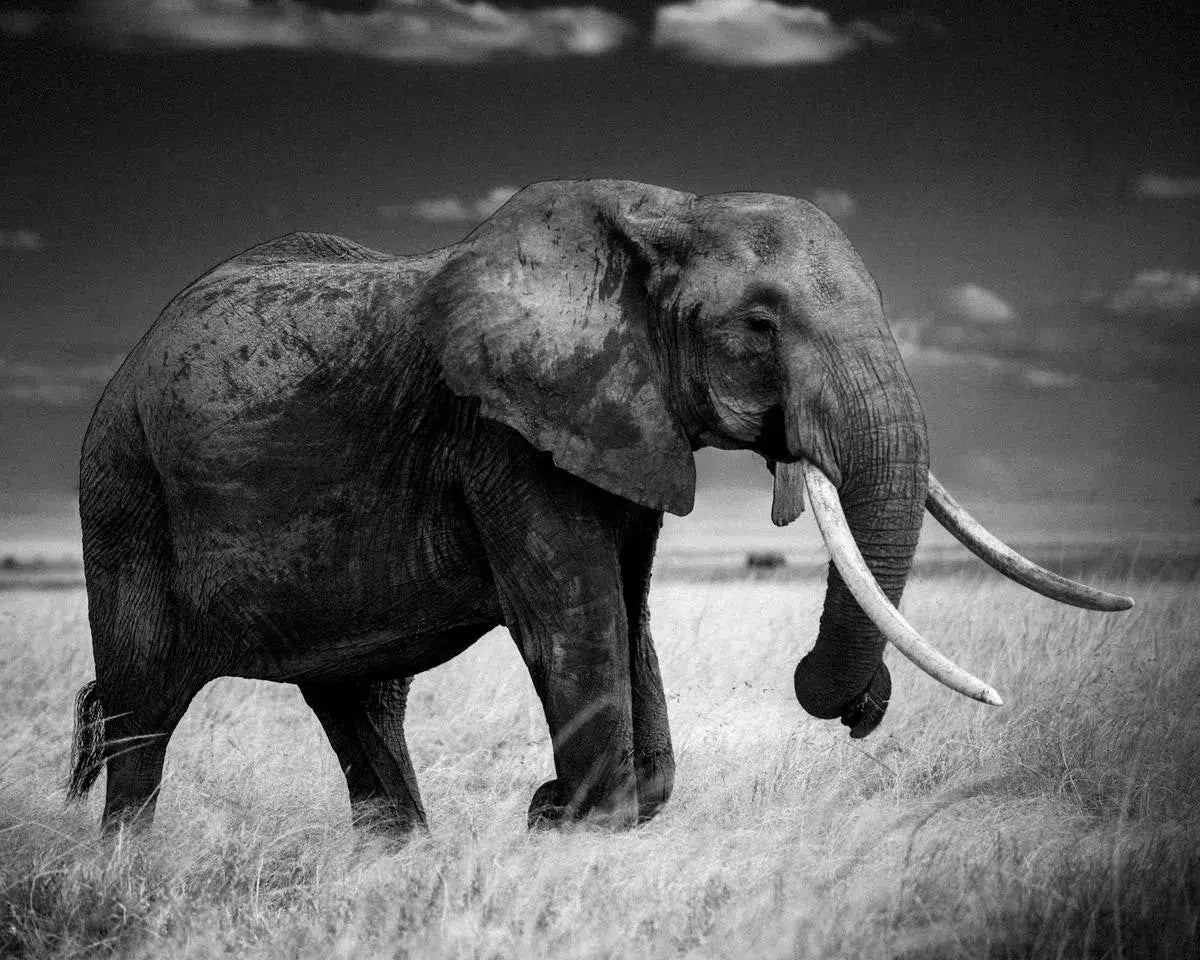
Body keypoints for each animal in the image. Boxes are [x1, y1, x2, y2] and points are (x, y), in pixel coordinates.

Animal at [67, 179, 1132, 834]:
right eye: (761, 324)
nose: (863, 708)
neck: (668, 215)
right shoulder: (503, 434)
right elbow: (570, 619)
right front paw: (567, 817)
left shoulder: (622, 423)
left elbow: (628, 612)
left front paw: (555, 811)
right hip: (123, 489)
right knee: (141, 714)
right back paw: (126, 868)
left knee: (360, 706)